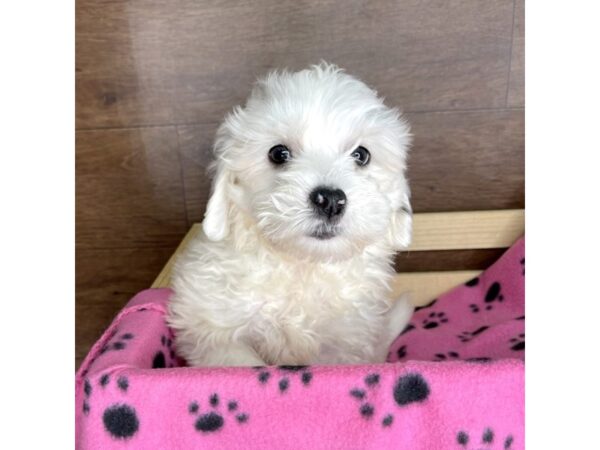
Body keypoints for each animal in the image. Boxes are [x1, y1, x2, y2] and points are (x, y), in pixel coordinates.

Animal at [166, 62, 414, 366]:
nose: (330, 200)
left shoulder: (344, 345)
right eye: (279, 154)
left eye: (361, 155)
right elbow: (239, 360)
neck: (301, 265)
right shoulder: (211, 326)